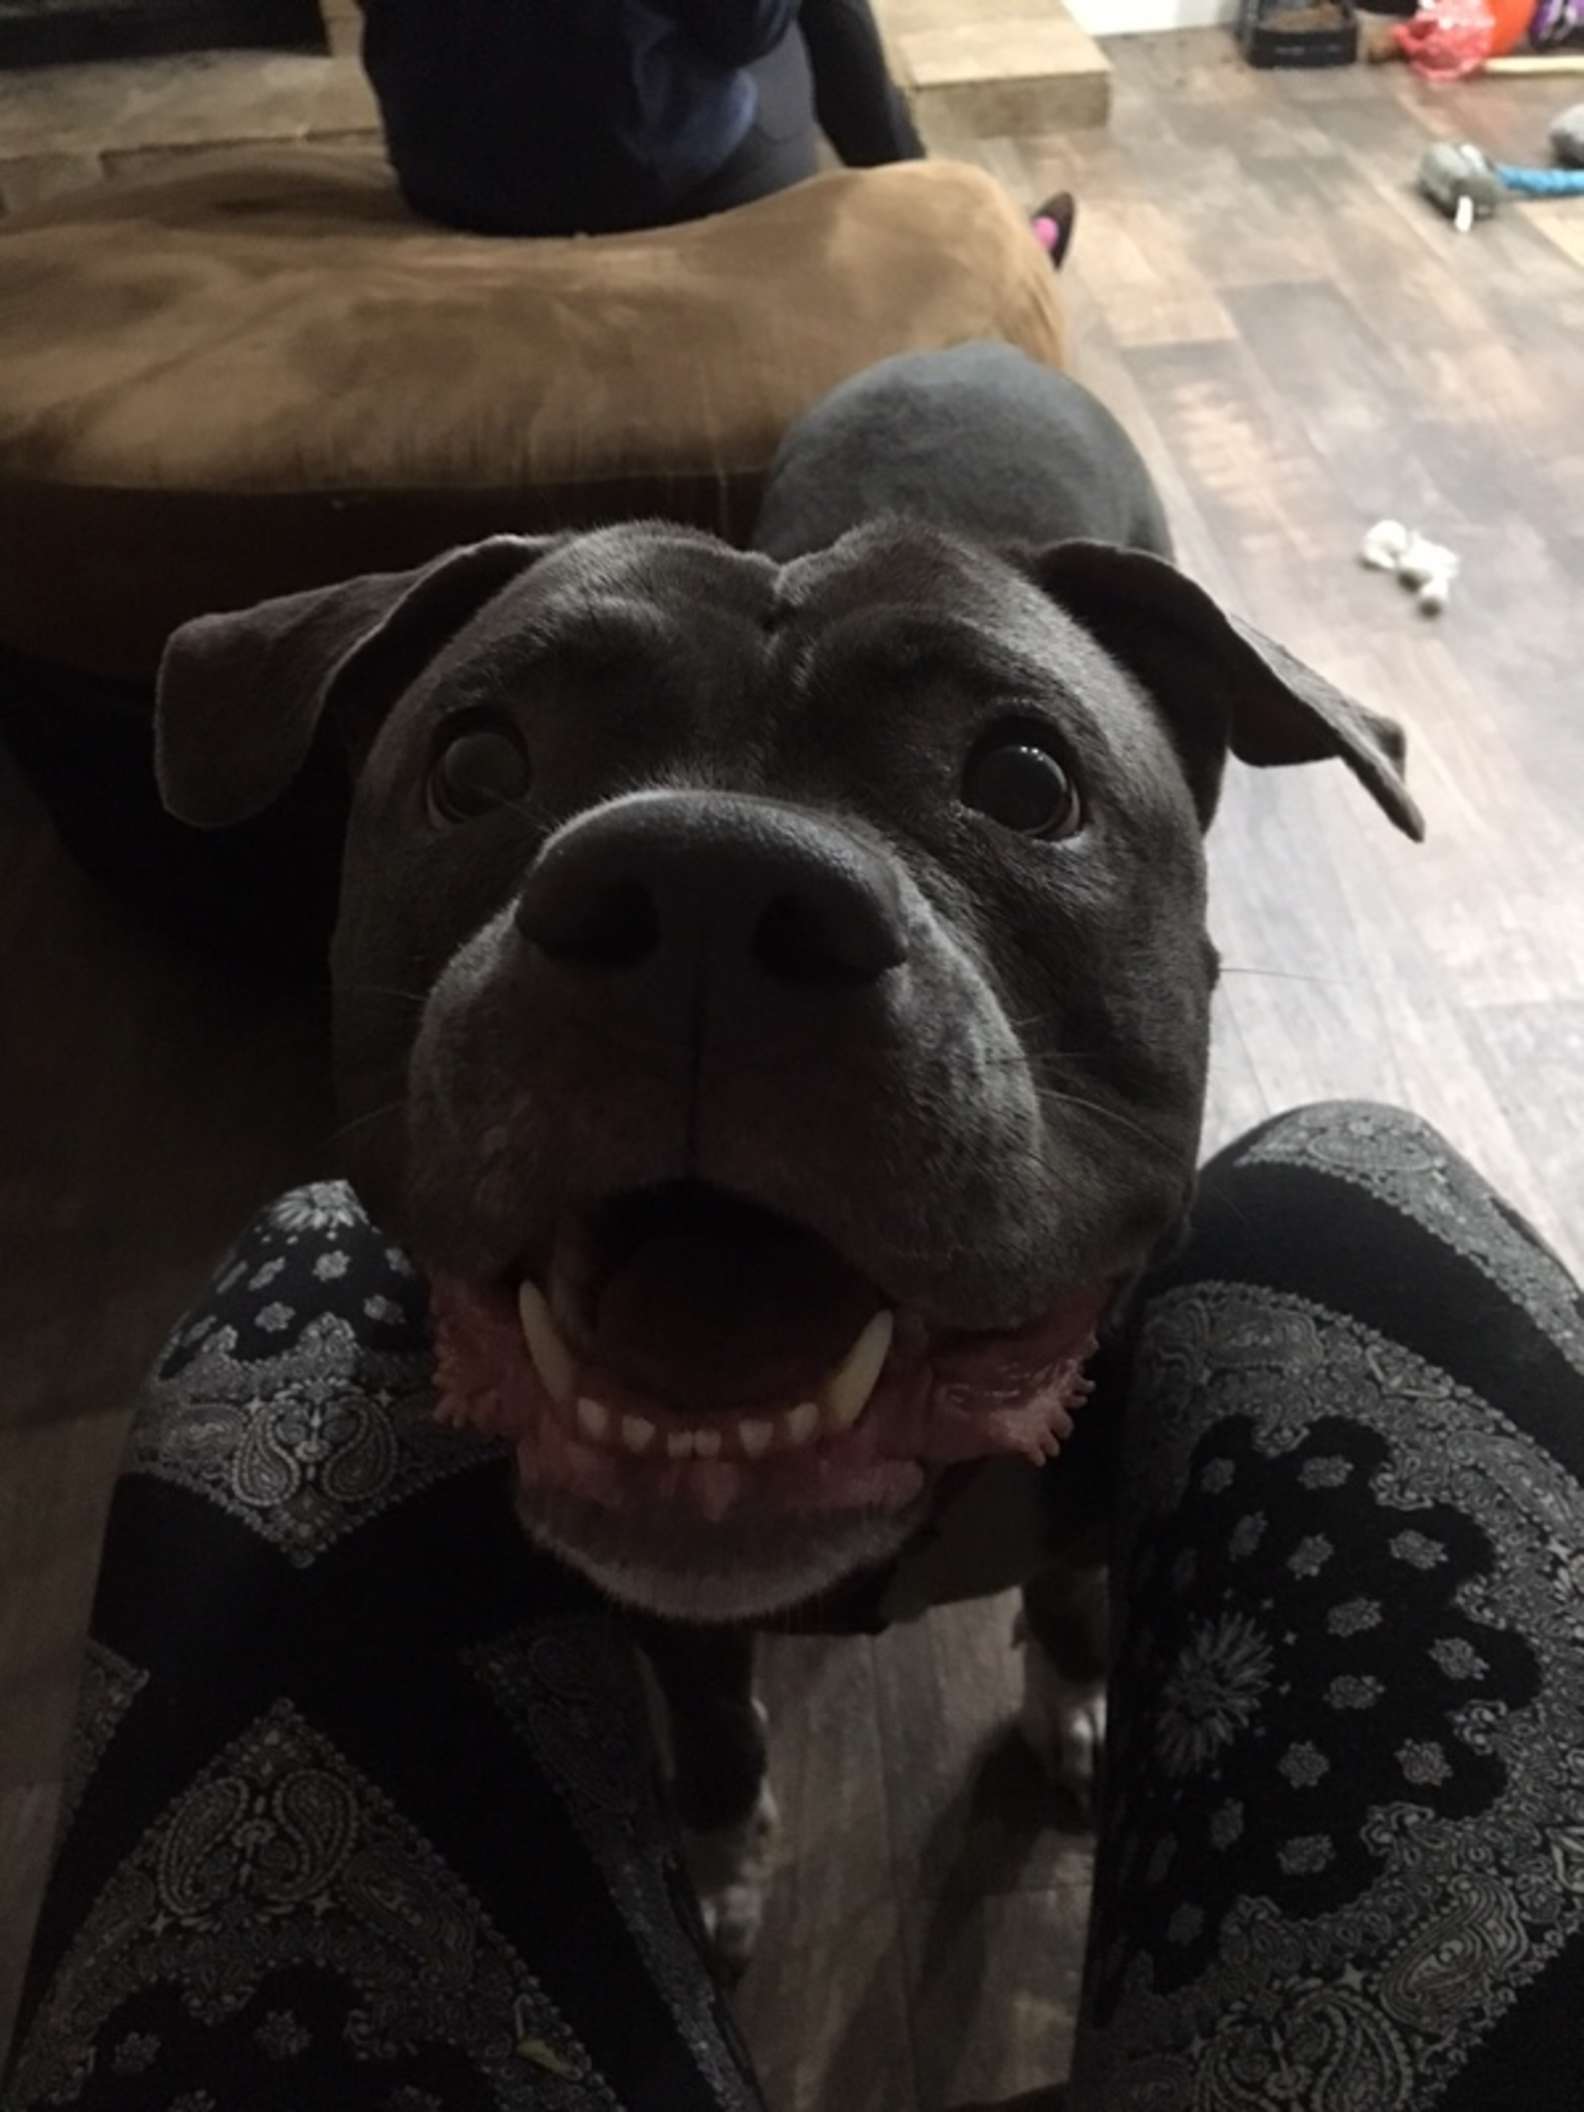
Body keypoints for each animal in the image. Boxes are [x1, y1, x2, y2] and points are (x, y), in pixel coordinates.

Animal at [154, 343, 1421, 1966]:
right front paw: (714, 1858)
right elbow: (708, 1722)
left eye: (1027, 781)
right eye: (477, 762)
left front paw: (1072, 1702)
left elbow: (1076, 1598)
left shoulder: (1089, 1487)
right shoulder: (660, 1604)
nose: (707, 885)